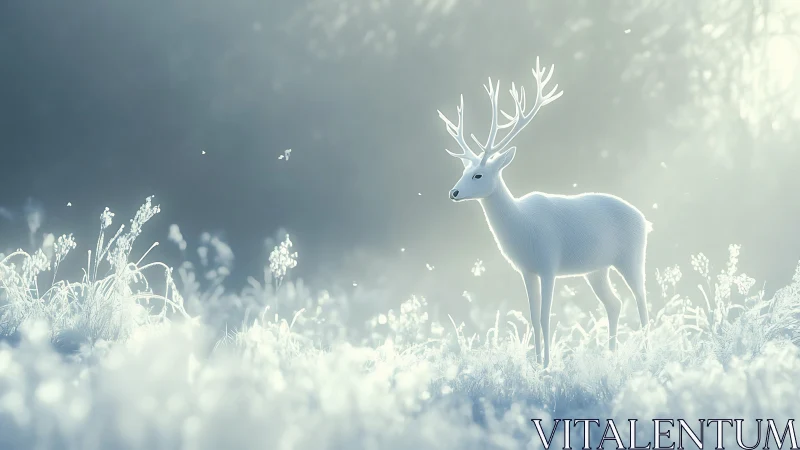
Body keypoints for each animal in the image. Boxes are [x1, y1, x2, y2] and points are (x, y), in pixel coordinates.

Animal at [437, 57, 652, 368]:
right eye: (464, 171)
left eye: (478, 175)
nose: (453, 193)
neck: (521, 226)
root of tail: (645, 220)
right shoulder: (527, 270)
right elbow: (532, 317)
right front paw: (536, 362)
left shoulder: (549, 263)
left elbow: (545, 316)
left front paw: (548, 364)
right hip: (597, 269)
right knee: (614, 303)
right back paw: (610, 353)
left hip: (632, 257)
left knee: (642, 299)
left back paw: (647, 352)